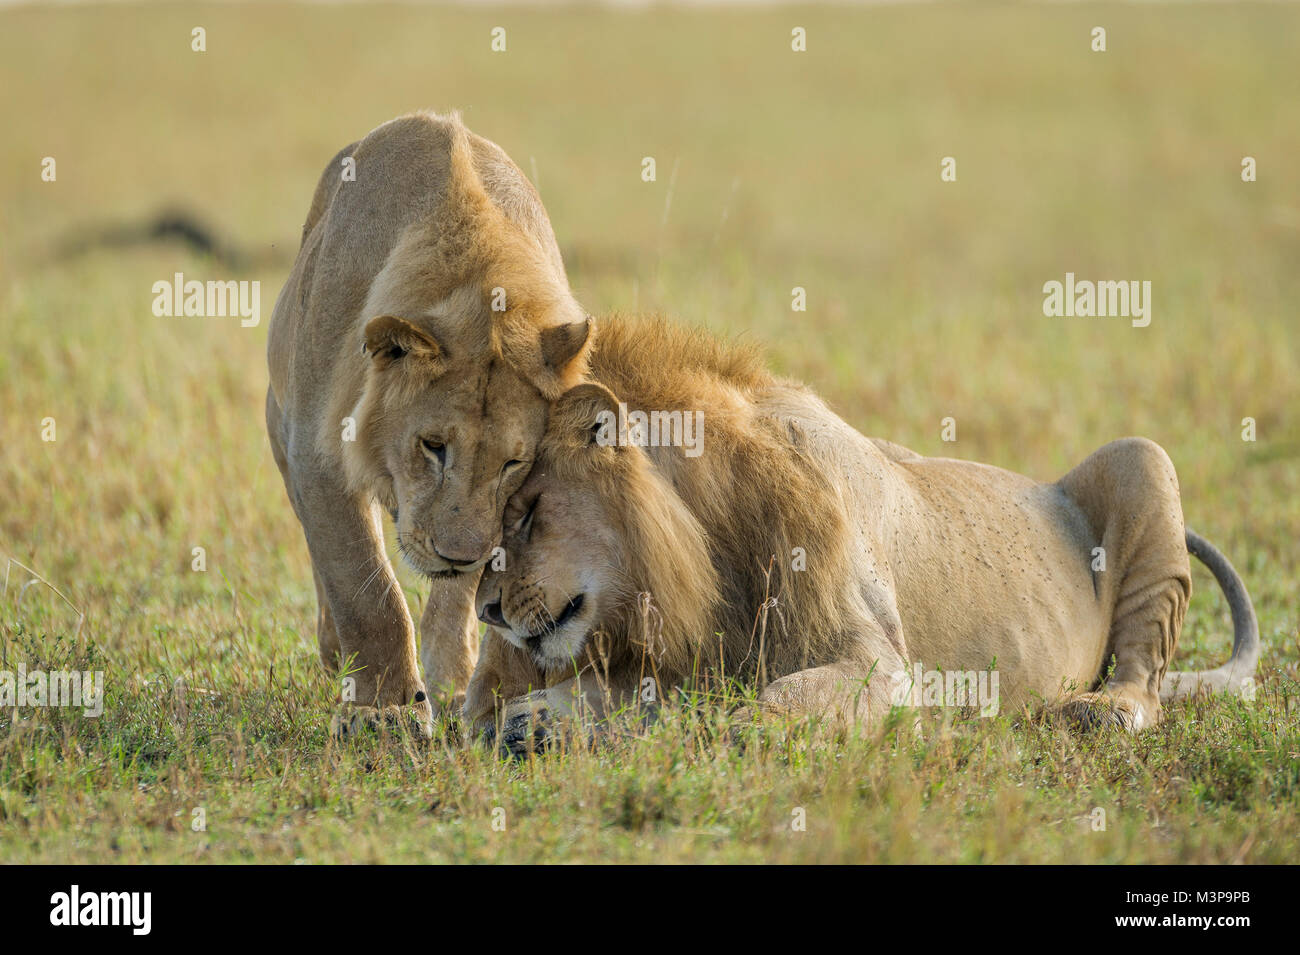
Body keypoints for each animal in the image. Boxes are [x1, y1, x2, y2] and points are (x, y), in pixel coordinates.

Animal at [467, 315, 1258, 753]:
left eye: (528, 510)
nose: (487, 611)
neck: (711, 545)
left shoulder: (885, 669)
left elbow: (749, 716)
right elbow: (634, 691)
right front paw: (540, 716)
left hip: (1142, 458)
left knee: (1145, 680)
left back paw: (1100, 711)